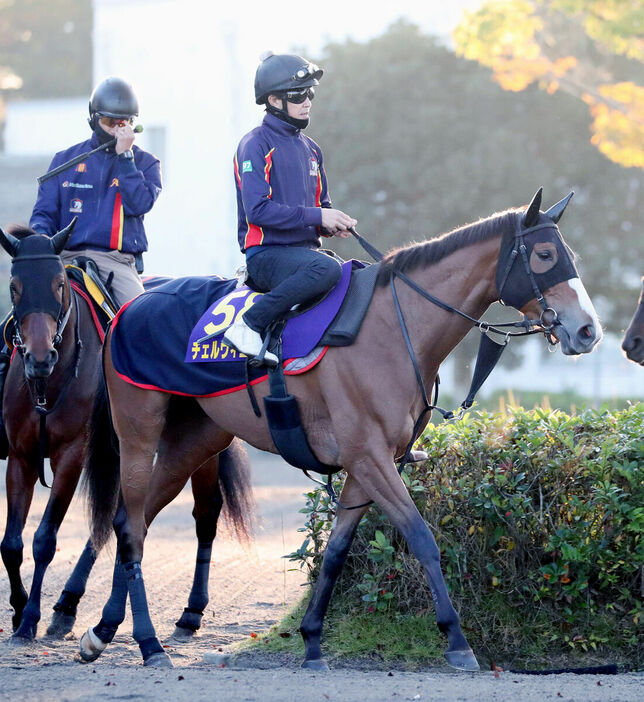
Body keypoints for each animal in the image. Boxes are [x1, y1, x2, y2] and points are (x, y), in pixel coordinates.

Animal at [0, 224, 256, 644]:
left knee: (203, 513)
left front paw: (30, 616)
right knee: (121, 518)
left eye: (58, 284)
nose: (39, 358)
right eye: (14, 286)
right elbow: (12, 543)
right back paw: (68, 604)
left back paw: (189, 612)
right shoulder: (21, 457)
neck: (49, 383)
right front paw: (22, 610)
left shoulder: (72, 456)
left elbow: (44, 540)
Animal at [83, 191, 600, 672]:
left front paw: (312, 641)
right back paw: (148, 643)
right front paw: (456, 639)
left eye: (570, 253)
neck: (392, 328)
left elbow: (336, 551)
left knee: (134, 521)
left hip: (194, 441)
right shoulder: (369, 457)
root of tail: (128, 306)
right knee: (131, 527)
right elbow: (421, 537)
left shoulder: (369, 464)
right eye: (545, 255)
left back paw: (102, 631)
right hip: (139, 433)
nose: (588, 331)